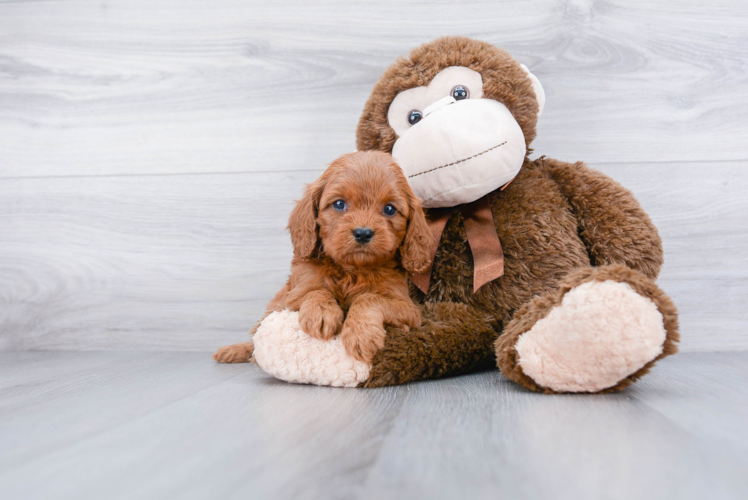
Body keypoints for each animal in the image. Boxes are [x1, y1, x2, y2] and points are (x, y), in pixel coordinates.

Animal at [213, 150, 430, 366]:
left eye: (390, 209)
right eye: (339, 204)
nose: (363, 233)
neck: (352, 270)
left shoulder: (408, 309)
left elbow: (369, 298)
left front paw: (361, 334)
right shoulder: (295, 294)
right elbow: (316, 290)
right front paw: (322, 313)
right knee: (254, 341)